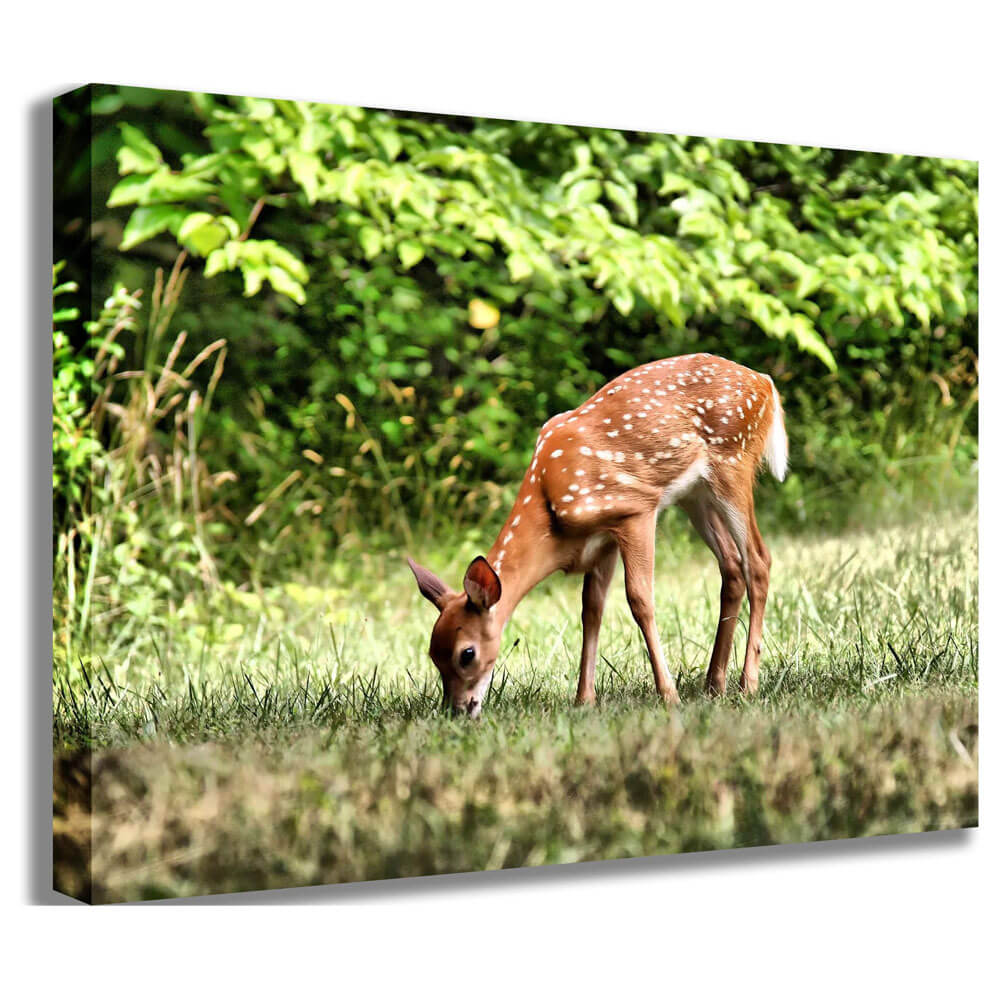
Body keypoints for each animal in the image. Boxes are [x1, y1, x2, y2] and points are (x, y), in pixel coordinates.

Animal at [407, 353, 787, 718]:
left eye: (466, 654)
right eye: (433, 655)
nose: (457, 710)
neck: (550, 508)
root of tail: (765, 382)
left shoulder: (635, 509)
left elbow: (640, 600)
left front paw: (668, 696)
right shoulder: (602, 542)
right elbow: (591, 610)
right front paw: (584, 700)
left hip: (733, 463)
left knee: (759, 560)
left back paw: (747, 684)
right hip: (695, 495)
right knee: (732, 566)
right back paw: (714, 684)